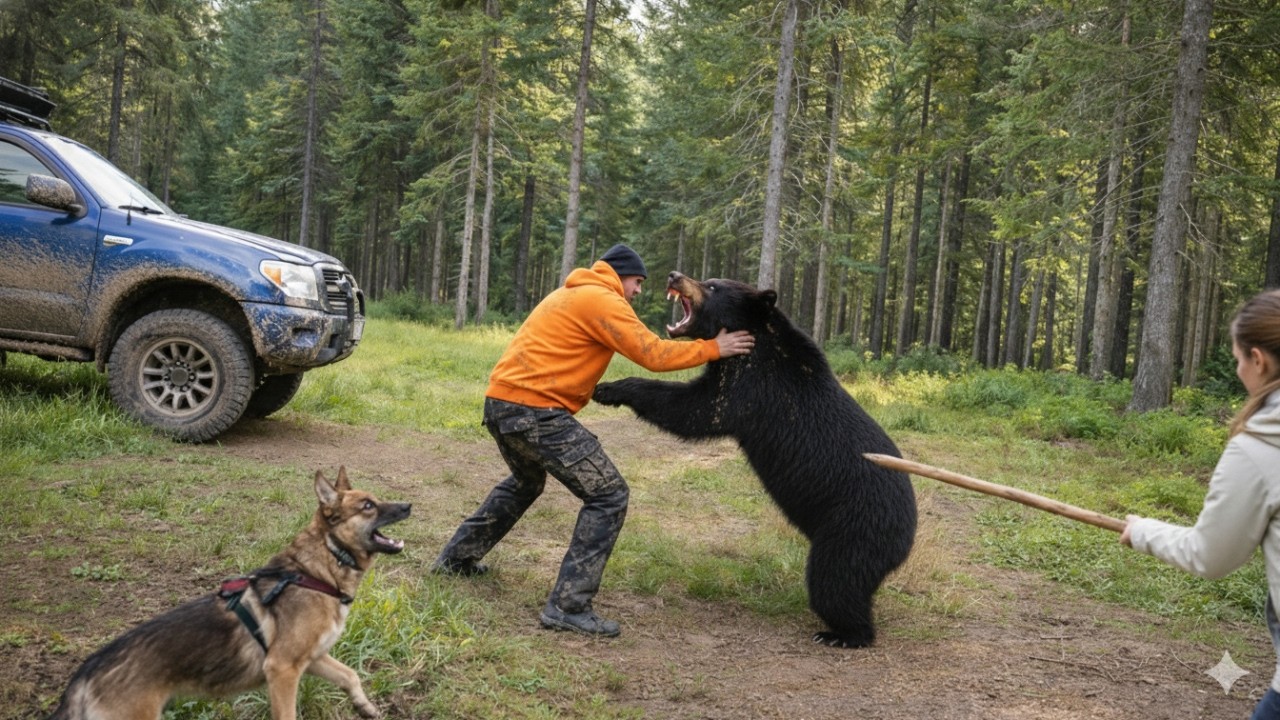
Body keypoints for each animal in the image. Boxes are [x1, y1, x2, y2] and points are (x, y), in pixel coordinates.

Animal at [592, 271, 917, 648]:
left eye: (713, 286)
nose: (675, 275)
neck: (754, 339)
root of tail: (908, 533)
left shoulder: (752, 384)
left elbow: (697, 409)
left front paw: (612, 388)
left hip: (853, 528)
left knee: (834, 580)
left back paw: (842, 634)